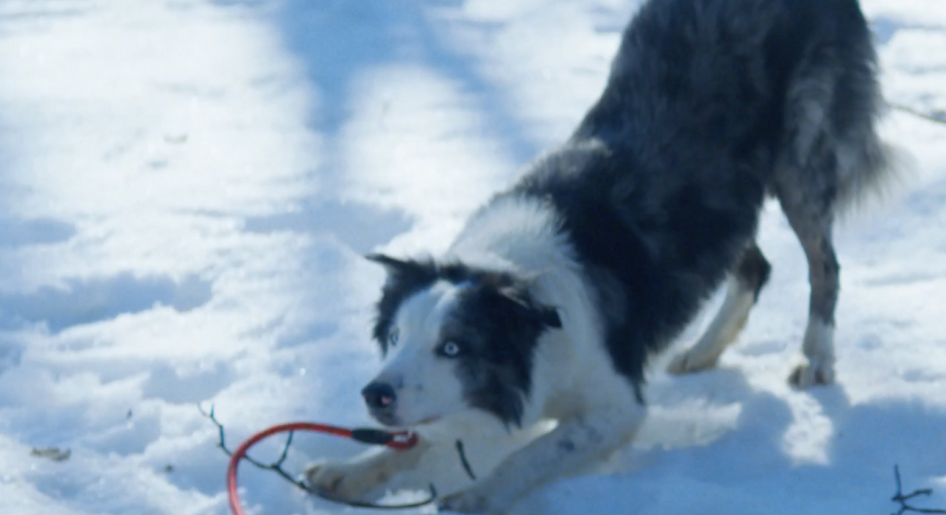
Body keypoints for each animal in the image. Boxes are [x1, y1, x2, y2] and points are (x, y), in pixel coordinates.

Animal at [304, 0, 892, 512]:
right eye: (395, 337)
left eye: (453, 347)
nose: (375, 394)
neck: (525, 295)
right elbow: (412, 440)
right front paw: (348, 471)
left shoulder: (615, 406)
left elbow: (534, 451)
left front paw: (478, 495)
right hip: (721, 200)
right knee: (753, 263)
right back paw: (703, 350)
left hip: (800, 155)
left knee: (824, 265)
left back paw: (815, 357)